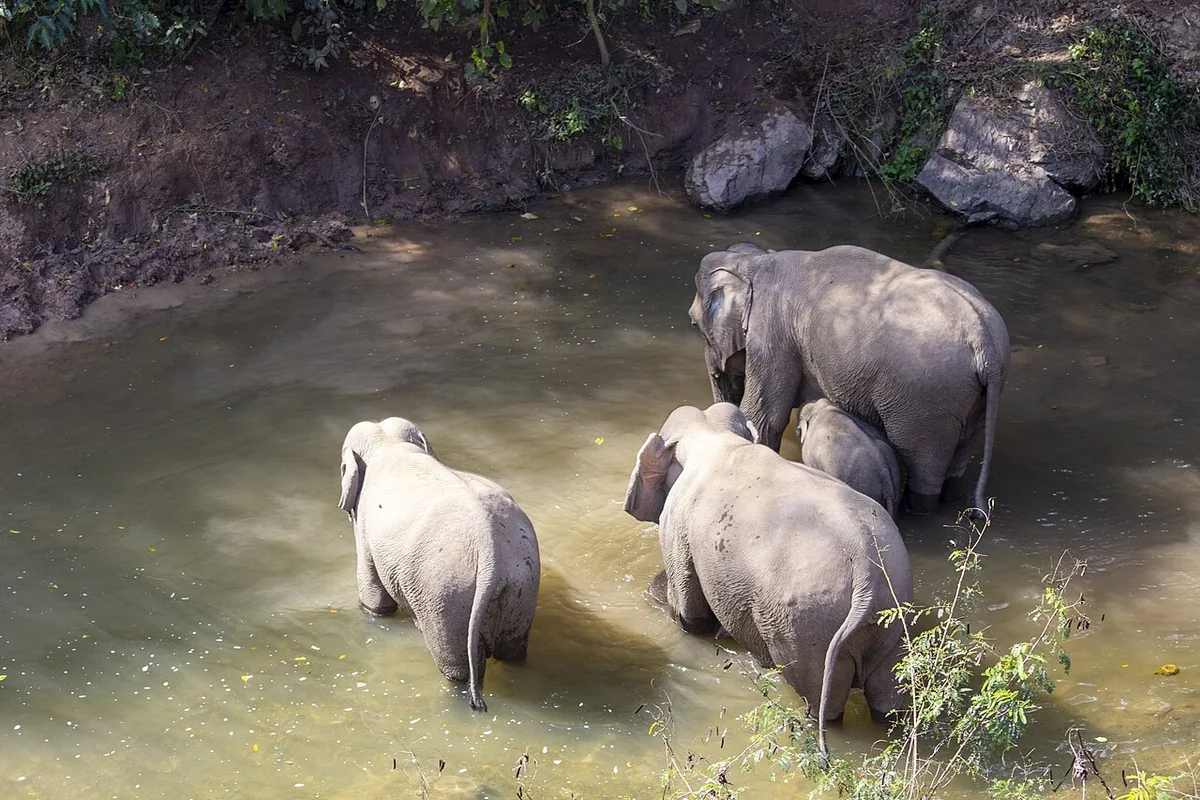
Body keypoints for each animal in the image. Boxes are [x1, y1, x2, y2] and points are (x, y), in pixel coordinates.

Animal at [338, 417, 540, 712]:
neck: (390, 444)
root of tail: (490, 549)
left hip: (445, 596)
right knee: (513, 650)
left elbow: (373, 594)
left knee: (458, 670)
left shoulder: (365, 532)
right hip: (522, 585)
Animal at [624, 403, 912, 755]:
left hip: (807, 627)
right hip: (892, 618)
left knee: (821, 701)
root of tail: (867, 571)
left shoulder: (677, 526)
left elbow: (688, 616)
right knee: (888, 697)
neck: (716, 437)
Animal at [689, 242, 1010, 515]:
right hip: (971, 396)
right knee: (960, 453)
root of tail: (983, 336)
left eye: (692, 322)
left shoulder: (771, 337)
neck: (755, 262)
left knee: (924, 465)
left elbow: (763, 417)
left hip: (926, 400)